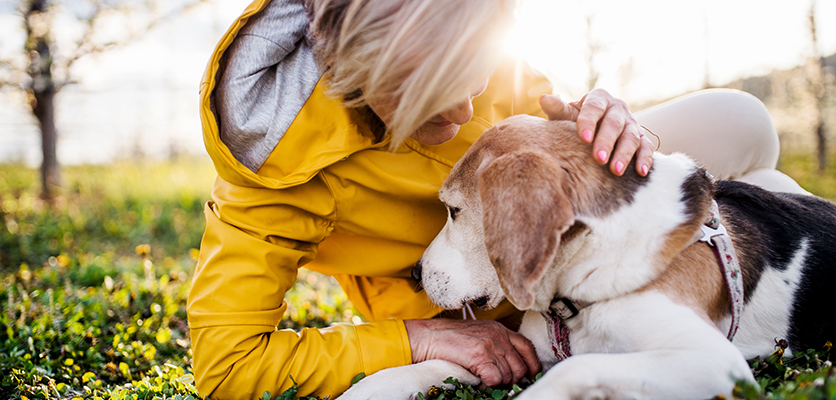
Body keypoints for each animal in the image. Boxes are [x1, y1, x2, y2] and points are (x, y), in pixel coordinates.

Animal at [342, 114, 836, 398]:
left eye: (454, 210)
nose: (416, 272)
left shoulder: (716, 362)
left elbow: (576, 368)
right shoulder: (527, 348)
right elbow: (438, 364)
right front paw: (370, 388)